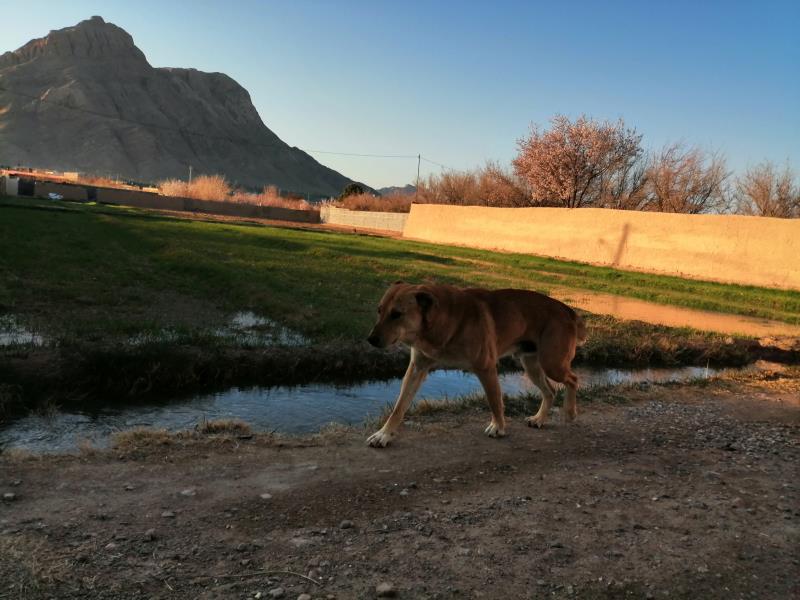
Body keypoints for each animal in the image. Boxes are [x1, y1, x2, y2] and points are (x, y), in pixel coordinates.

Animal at [366, 284, 584, 448]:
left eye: (397, 314)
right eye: (379, 310)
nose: (371, 340)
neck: (441, 323)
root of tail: (568, 310)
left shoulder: (486, 367)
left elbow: (494, 400)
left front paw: (498, 427)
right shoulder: (417, 369)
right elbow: (399, 407)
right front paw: (384, 434)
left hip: (552, 363)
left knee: (573, 379)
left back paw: (570, 412)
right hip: (532, 365)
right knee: (550, 391)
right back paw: (539, 419)